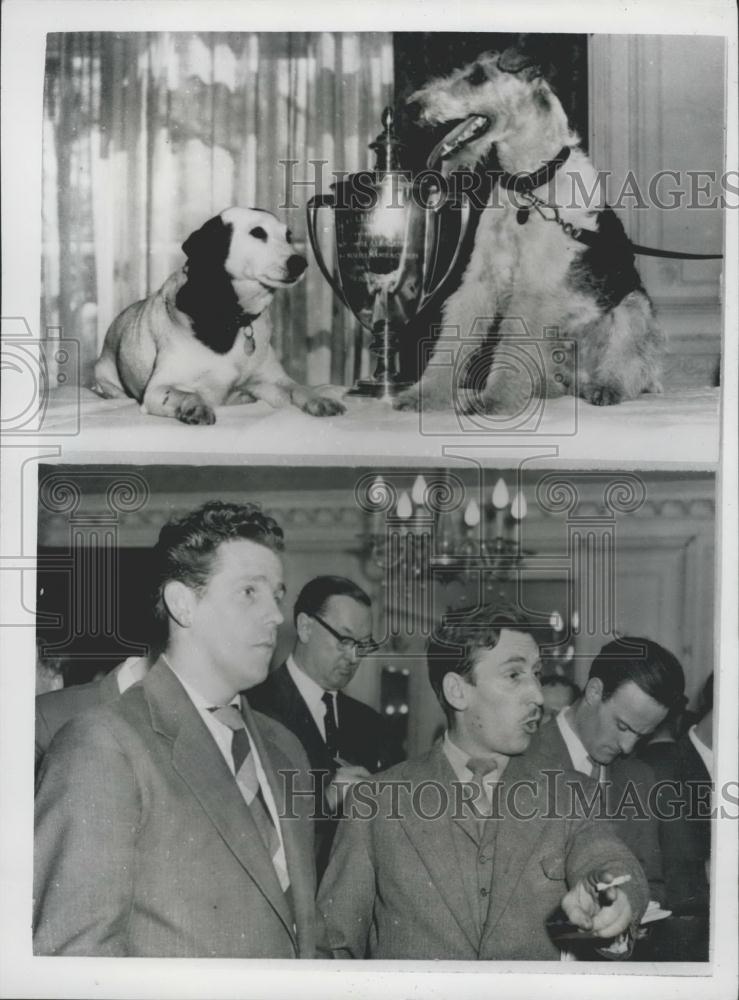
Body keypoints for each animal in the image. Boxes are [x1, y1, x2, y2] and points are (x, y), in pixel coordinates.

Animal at [93, 207, 346, 426]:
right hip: (104, 375)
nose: (300, 262)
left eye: (288, 236)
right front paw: (195, 407)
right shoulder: (158, 389)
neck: (233, 316)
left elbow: (298, 387)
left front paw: (319, 399)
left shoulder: (274, 381)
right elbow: (186, 394)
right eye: (257, 232)